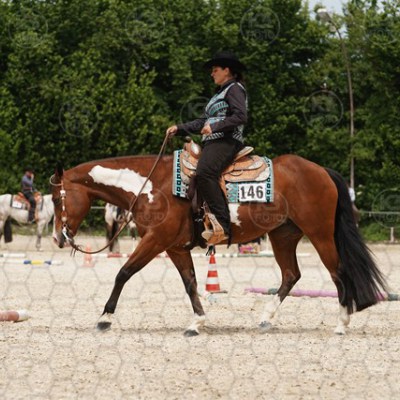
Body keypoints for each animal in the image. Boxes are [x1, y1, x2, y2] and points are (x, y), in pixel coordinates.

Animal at [50, 153, 387, 336]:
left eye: (55, 198)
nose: (57, 238)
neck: (151, 186)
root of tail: (321, 171)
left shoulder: (155, 240)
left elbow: (123, 273)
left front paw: (104, 318)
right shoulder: (175, 247)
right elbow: (190, 284)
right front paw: (197, 322)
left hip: (319, 234)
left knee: (338, 272)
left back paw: (342, 323)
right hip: (283, 236)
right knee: (291, 275)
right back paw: (266, 318)